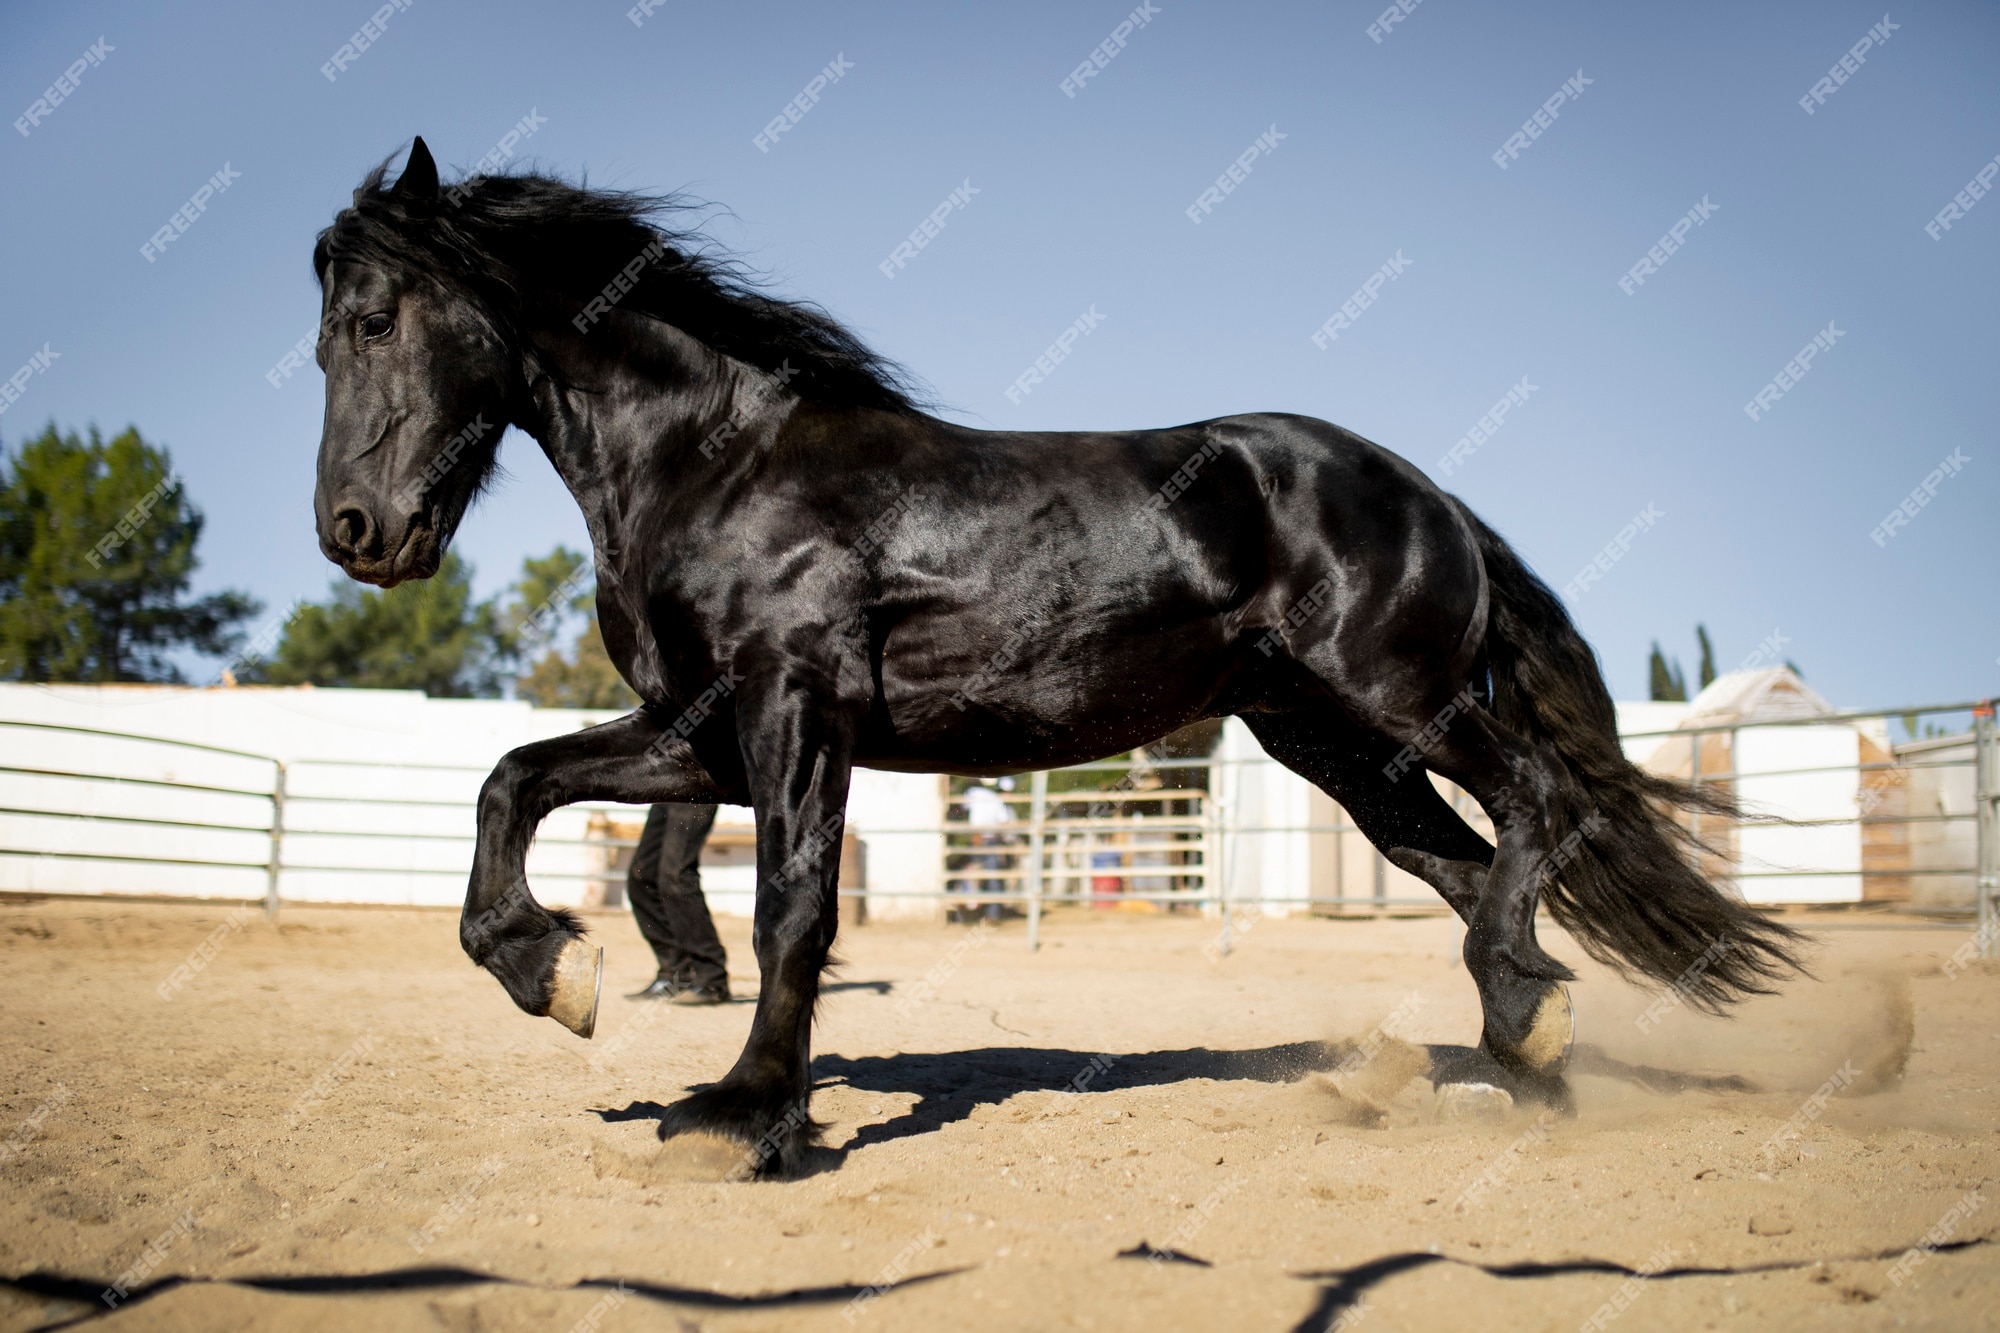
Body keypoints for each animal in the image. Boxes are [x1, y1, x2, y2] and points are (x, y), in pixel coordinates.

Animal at [308, 140, 1800, 1168]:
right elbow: (514, 780)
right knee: (1468, 863)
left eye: (374, 318)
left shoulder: (795, 714)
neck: (717, 463)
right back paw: (1521, 1047)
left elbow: (794, 905)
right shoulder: (704, 742)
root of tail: (1424, 493)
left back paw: (1523, 1028)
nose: (355, 530)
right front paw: (552, 976)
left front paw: (741, 1115)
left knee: (1537, 805)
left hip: (1402, 699)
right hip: (1334, 746)